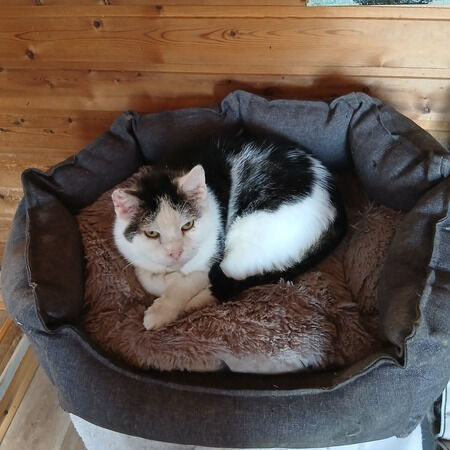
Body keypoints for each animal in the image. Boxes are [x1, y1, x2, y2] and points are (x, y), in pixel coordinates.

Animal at [112, 134, 345, 330]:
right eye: (151, 233)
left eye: (188, 225)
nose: (176, 252)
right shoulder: (132, 254)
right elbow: (144, 275)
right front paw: (165, 280)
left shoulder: (212, 255)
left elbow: (188, 282)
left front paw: (162, 309)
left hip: (250, 235)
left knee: (228, 278)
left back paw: (194, 303)